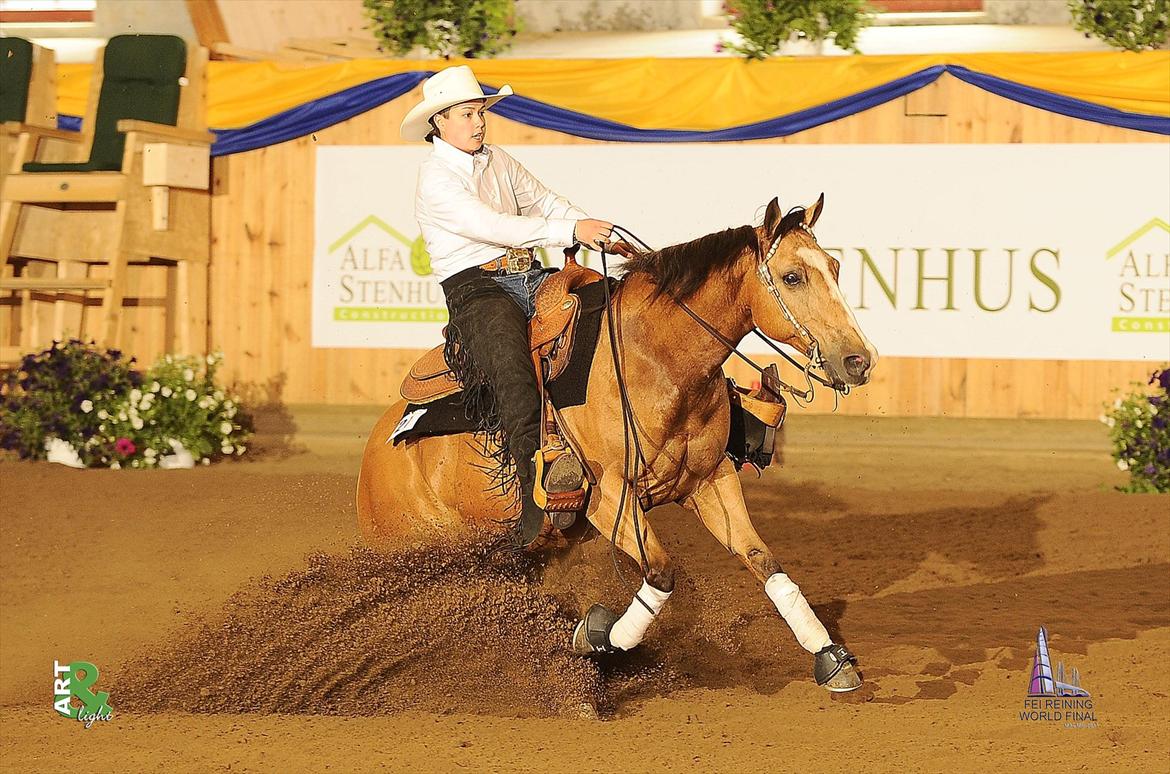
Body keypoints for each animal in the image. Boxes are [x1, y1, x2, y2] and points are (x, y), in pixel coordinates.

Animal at [355, 197, 879, 692]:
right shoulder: (609, 498)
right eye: (792, 277)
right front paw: (595, 636)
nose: (859, 360)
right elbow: (661, 573)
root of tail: (375, 454)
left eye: (835, 267)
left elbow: (763, 560)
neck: (653, 359)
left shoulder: (711, 481)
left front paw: (831, 659)